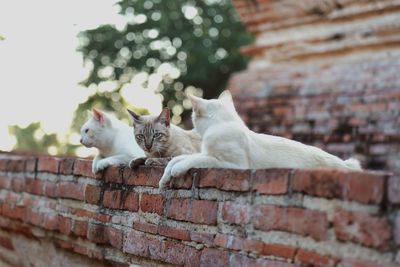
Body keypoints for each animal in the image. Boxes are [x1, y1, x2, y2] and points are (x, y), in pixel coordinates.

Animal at [159, 91, 362, 189]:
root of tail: (344, 164)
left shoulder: (234, 164)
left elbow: (198, 159)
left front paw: (176, 170)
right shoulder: (206, 152)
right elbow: (178, 159)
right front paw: (164, 179)